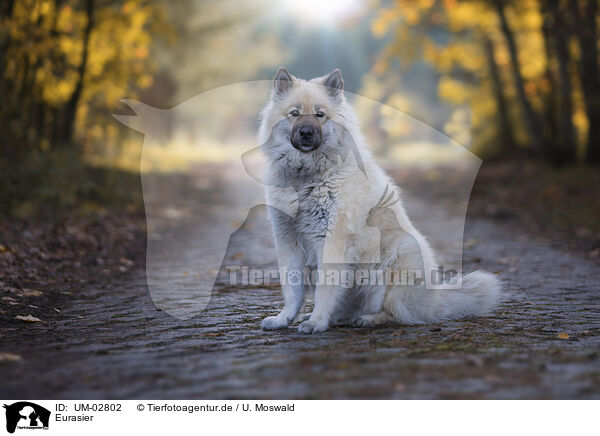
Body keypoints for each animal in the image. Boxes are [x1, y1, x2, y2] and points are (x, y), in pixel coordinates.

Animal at [258, 67, 502, 334]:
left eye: (320, 115)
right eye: (294, 113)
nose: (306, 133)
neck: (307, 177)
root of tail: (435, 300)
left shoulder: (332, 241)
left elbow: (325, 288)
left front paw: (317, 321)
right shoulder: (288, 241)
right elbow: (292, 289)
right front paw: (285, 318)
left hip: (390, 263)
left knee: (393, 311)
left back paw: (367, 319)